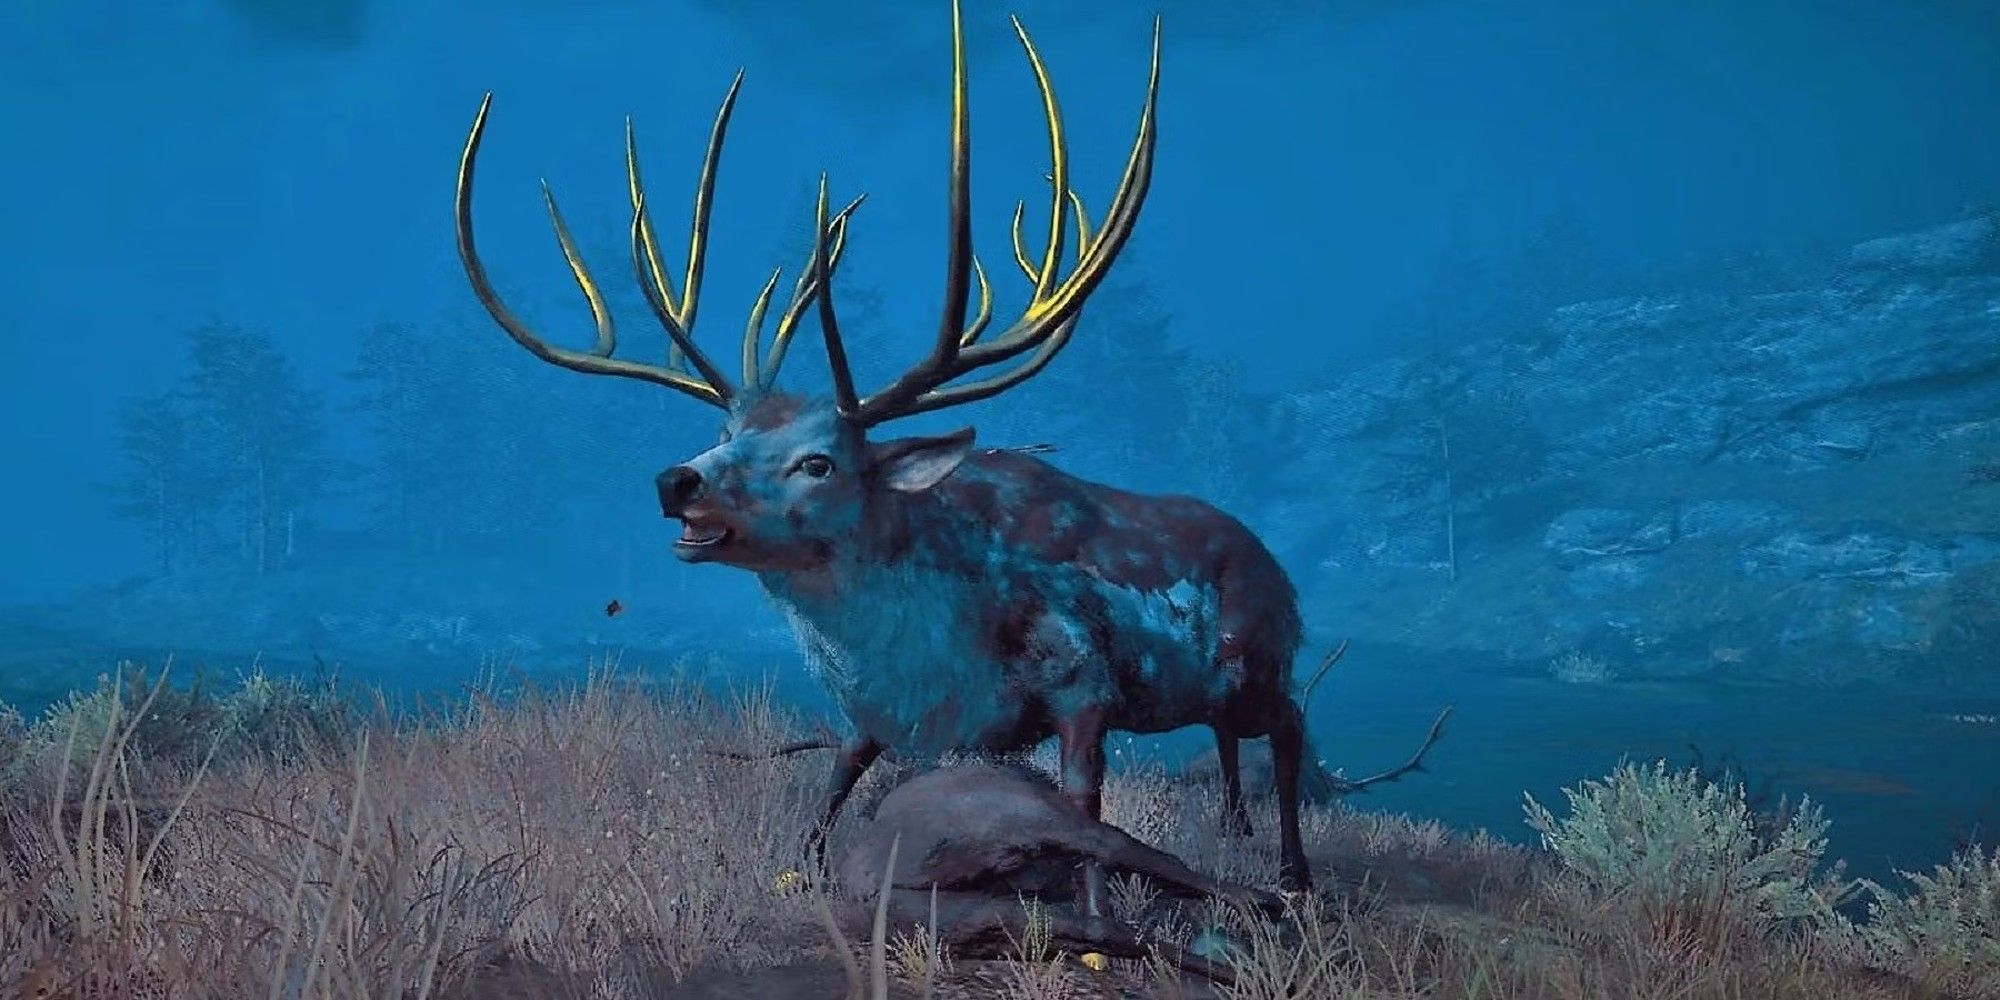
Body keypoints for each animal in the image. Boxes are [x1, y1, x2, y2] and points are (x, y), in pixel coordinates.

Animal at [453, 2, 1325, 898]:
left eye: (819, 461)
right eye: (726, 435)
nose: (676, 480)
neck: (931, 644)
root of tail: (1277, 565)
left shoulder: (1083, 676)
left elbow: (1086, 802)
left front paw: (1099, 902)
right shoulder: (880, 706)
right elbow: (840, 771)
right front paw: (802, 866)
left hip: (1261, 658)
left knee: (1289, 723)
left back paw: (1293, 871)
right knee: (1231, 737)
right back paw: (1238, 826)